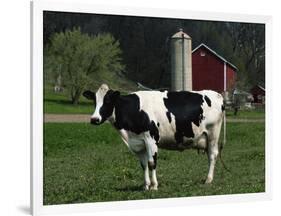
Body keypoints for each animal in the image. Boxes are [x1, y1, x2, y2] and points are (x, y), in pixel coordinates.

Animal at [82, 84, 224, 191]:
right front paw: (146, 185)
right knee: (209, 155)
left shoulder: (151, 139)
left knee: (212, 155)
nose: (94, 119)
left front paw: (154, 186)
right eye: (94, 101)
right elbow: (144, 164)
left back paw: (208, 180)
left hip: (213, 134)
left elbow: (152, 163)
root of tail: (217, 94)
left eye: (107, 101)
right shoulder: (139, 142)